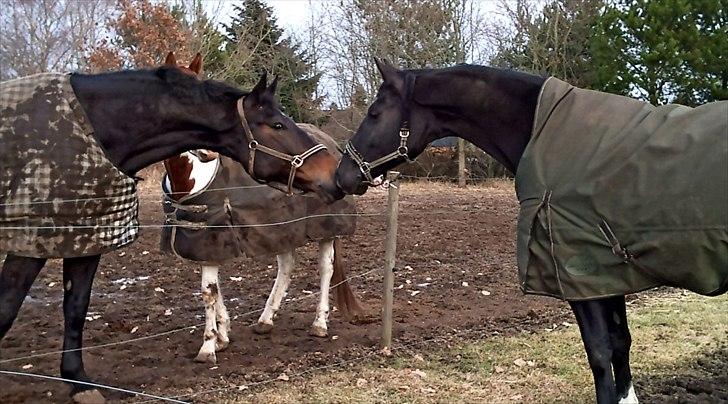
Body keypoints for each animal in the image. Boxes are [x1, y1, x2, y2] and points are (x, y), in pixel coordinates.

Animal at [160, 52, 364, 362]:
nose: (206, 152)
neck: (191, 179)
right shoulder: (206, 244)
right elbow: (216, 291)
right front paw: (223, 335)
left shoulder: (212, 241)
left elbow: (208, 292)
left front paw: (208, 347)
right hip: (282, 228)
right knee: (287, 266)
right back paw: (266, 320)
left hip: (326, 231)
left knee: (326, 269)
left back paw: (319, 323)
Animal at [332, 59, 728, 404]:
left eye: (374, 113)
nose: (341, 177)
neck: (543, 129)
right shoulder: (607, 275)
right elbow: (621, 344)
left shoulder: (577, 274)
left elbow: (600, 354)